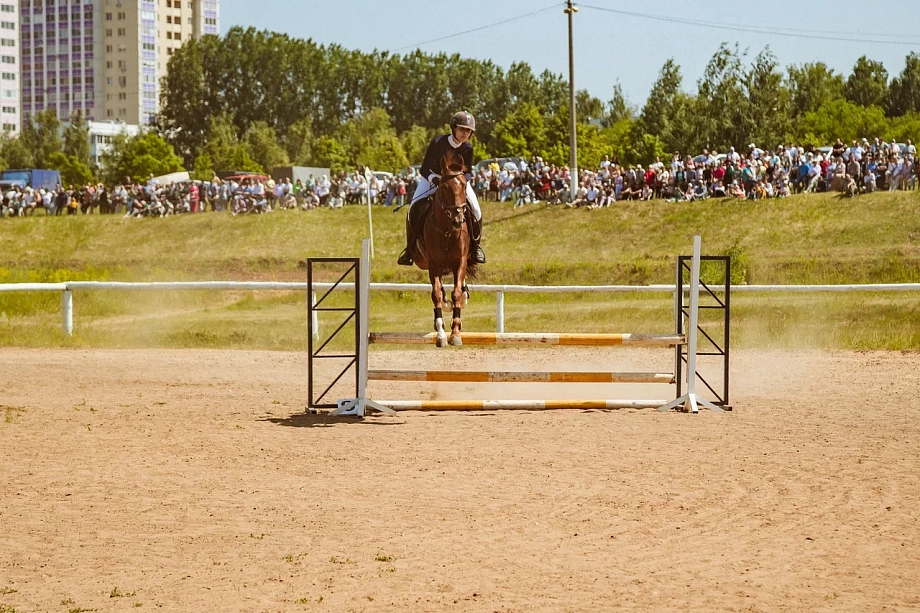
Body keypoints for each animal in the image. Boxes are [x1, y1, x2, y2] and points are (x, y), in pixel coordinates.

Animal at [412, 147, 482, 344]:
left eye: (464, 185)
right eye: (443, 187)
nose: (458, 220)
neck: (446, 229)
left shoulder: (460, 261)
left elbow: (456, 292)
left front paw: (456, 333)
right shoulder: (434, 263)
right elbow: (436, 293)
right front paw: (441, 333)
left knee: (460, 285)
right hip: (426, 262)